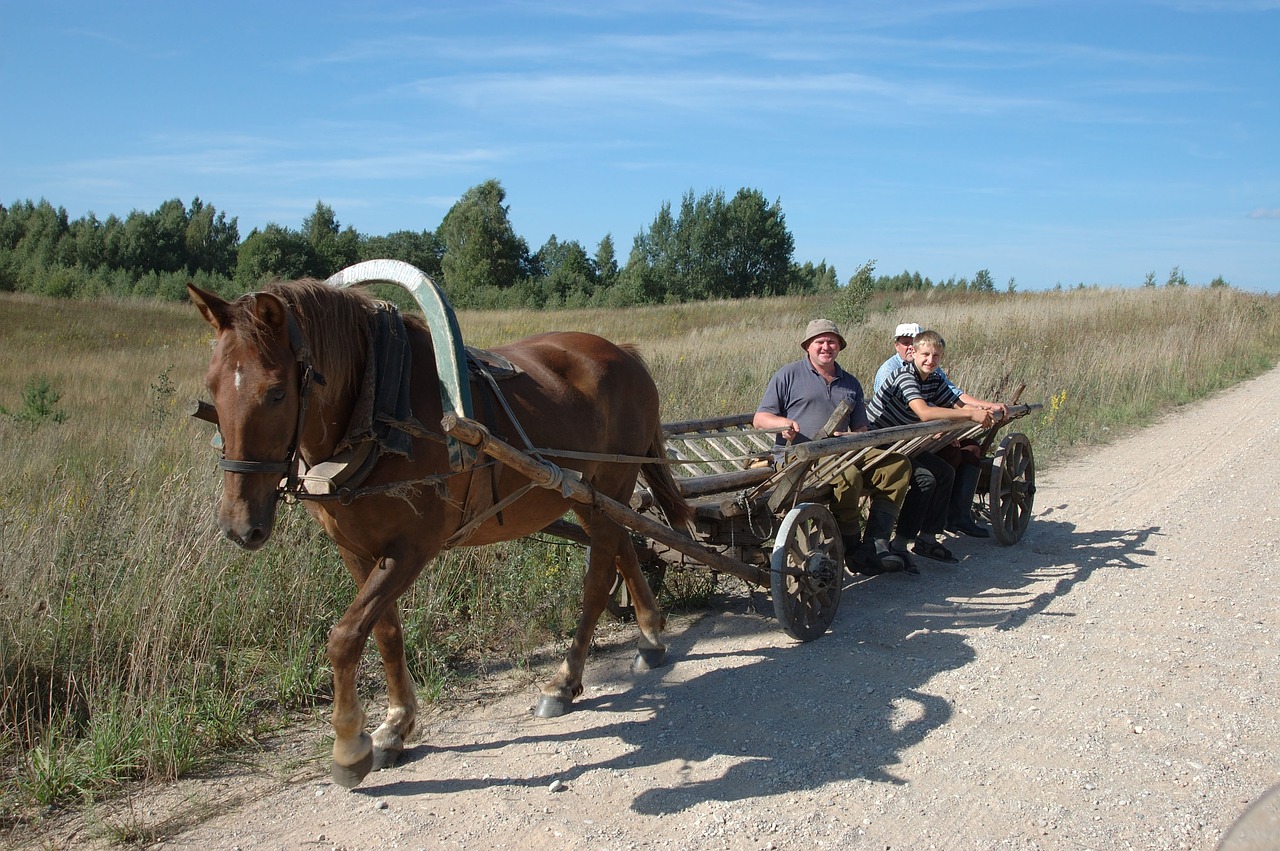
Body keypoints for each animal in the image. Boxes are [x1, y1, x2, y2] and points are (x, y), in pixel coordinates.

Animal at [186, 275, 691, 788]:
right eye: (211, 386)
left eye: (275, 393)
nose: (238, 525)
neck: (379, 407)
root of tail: (623, 352)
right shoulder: (356, 550)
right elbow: (385, 631)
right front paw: (394, 726)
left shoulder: (412, 548)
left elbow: (345, 637)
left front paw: (349, 745)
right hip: (585, 496)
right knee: (623, 546)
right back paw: (650, 637)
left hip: (608, 485)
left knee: (597, 578)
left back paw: (565, 681)